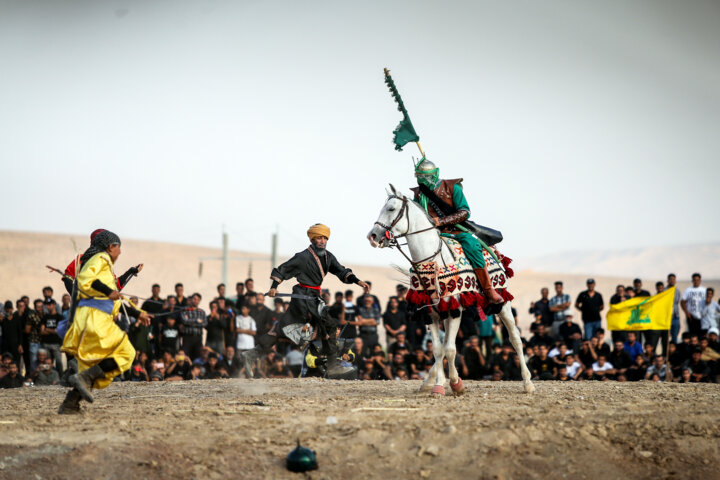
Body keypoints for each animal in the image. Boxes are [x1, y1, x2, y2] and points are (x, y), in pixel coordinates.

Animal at [368, 184, 532, 394]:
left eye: (391, 209)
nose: (372, 236)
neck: (432, 260)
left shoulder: (455, 309)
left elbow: (450, 349)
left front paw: (455, 384)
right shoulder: (432, 312)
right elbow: (439, 349)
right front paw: (439, 384)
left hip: (502, 303)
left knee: (515, 338)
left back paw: (528, 383)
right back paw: (427, 382)